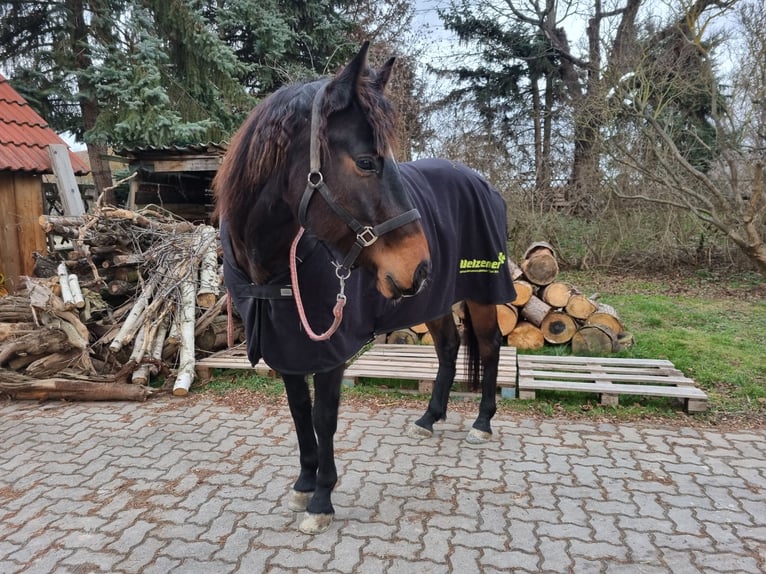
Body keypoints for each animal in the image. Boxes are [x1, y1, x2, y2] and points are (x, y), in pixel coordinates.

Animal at [213, 44, 520, 536]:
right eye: (366, 162)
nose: (420, 264)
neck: (274, 270)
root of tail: (484, 183)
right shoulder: (289, 348)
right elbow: (299, 412)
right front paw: (303, 484)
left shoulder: (330, 353)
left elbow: (324, 419)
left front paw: (322, 498)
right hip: (433, 298)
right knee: (450, 347)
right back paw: (429, 417)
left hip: (481, 292)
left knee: (489, 346)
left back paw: (482, 422)